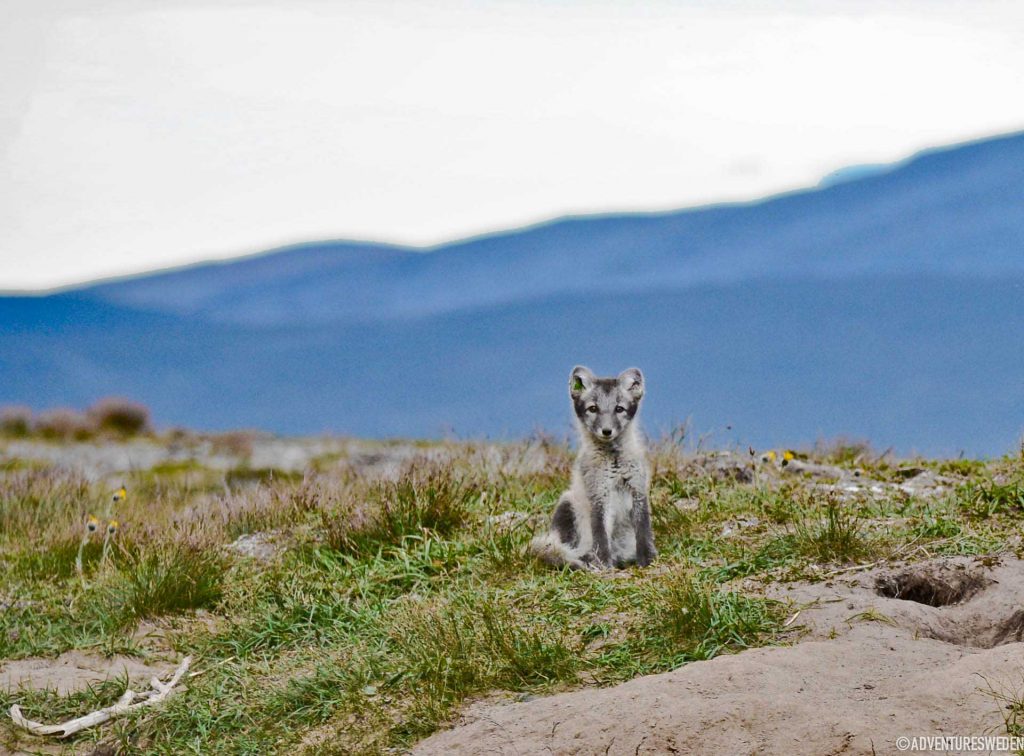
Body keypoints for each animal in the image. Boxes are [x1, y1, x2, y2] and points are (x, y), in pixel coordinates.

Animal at [530, 365, 656, 570]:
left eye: (619, 409)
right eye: (593, 409)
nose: (606, 431)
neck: (614, 459)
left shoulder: (637, 489)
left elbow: (644, 532)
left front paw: (647, 561)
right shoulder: (599, 495)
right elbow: (601, 535)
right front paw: (604, 565)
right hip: (567, 502)